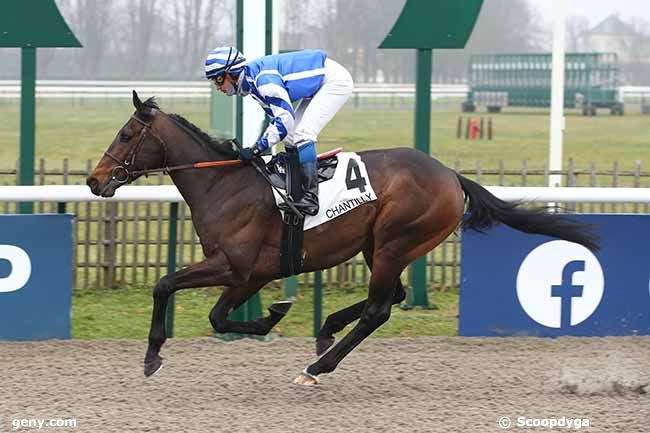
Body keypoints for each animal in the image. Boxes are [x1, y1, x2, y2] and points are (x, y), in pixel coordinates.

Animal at [86, 92, 596, 384]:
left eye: (127, 133)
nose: (95, 180)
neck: (224, 183)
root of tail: (451, 175)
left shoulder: (236, 266)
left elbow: (165, 285)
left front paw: (152, 355)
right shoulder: (251, 275)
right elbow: (217, 317)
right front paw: (273, 315)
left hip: (394, 241)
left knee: (378, 309)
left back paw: (318, 367)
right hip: (380, 246)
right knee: (393, 297)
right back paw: (327, 331)